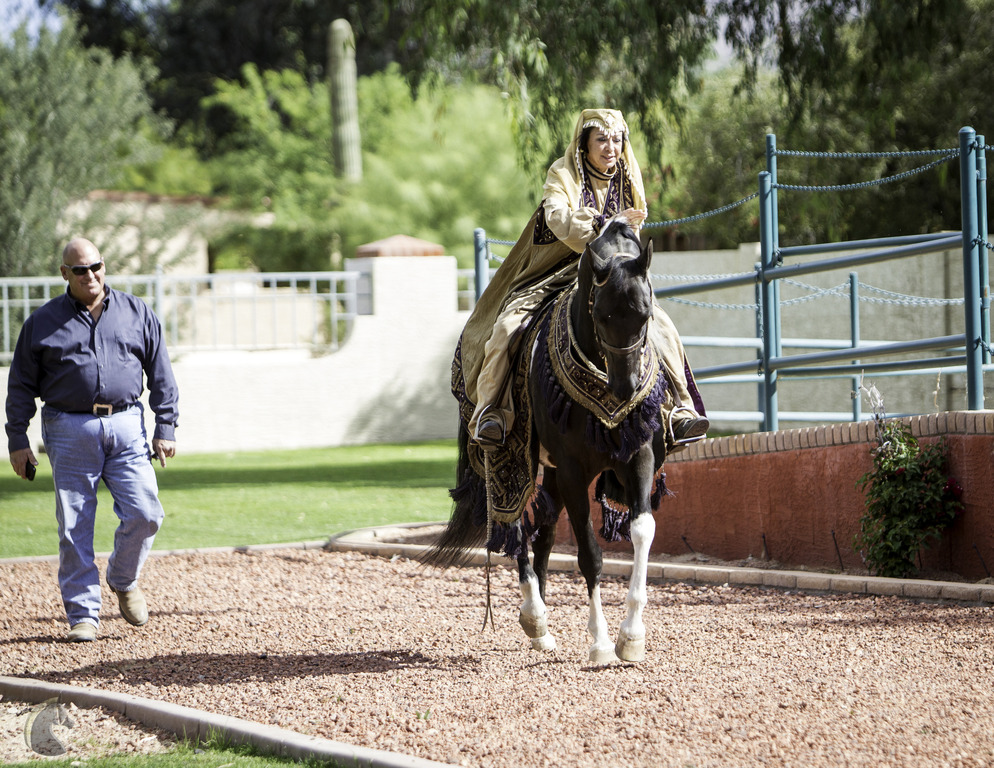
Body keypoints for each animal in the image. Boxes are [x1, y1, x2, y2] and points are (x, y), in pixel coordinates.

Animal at [427, 218, 670, 664]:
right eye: (602, 313)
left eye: (645, 314)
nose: (626, 388)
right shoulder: (573, 470)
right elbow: (589, 554)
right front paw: (601, 643)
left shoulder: (638, 456)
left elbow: (642, 530)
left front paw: (631, 636)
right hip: (509, 461)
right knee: (515, 523)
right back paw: (535, 614)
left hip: (551, 473)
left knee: (543, 528)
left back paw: (539, 625)